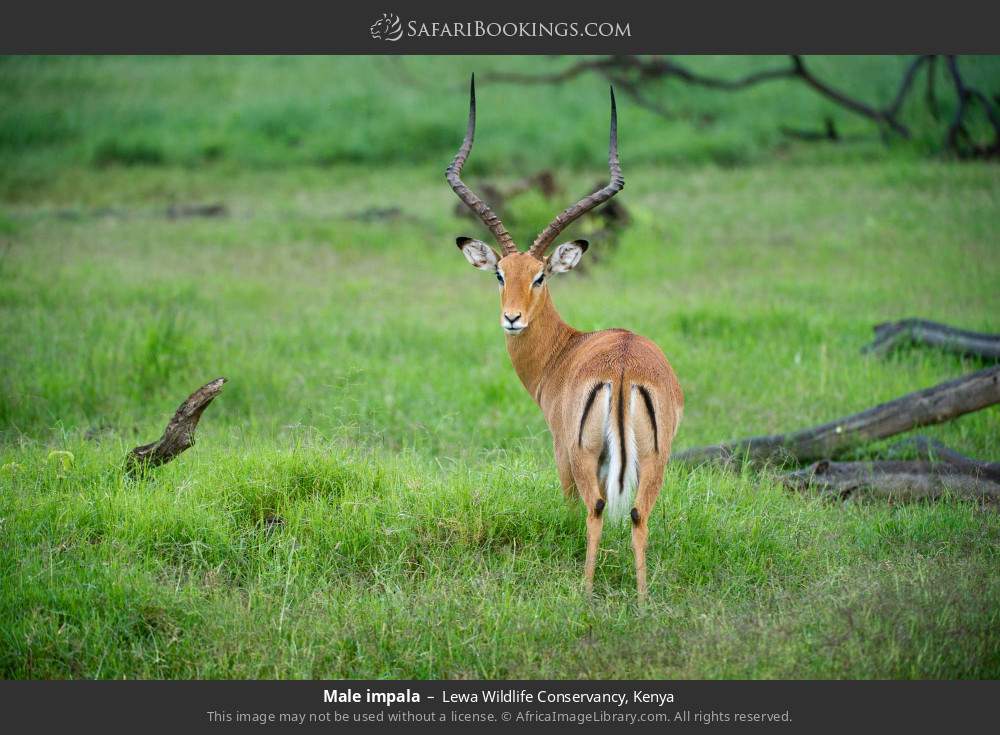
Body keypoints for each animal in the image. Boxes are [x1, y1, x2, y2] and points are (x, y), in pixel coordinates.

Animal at [447, 76, 683, 598]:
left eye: (539, 276)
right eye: (499, 273)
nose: (512, 318)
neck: (566, 349)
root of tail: (623, 369)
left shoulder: (560, 450)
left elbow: (571, 506)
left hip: (585, 455)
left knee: (596, 509)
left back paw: (587, 593)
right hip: (654, 460)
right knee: (638, 514)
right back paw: (642, 602)